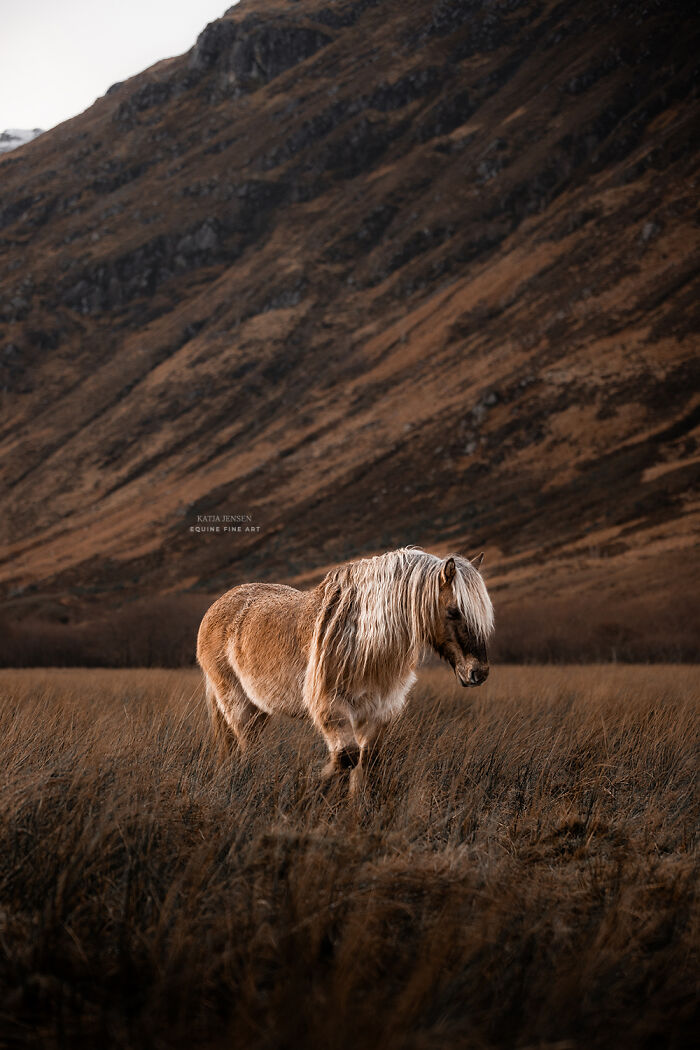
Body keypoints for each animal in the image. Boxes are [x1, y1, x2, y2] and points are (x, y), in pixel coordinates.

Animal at [196, 547, 494, 791]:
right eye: (454, 611)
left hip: (259, 707)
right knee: (248, 746)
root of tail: (216, 607)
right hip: (235, 701)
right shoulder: (332, 707)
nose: (478, 672)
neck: (365, 642)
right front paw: (310, 783)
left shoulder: (377, 712)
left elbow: (365, 764)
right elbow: (347, 758)